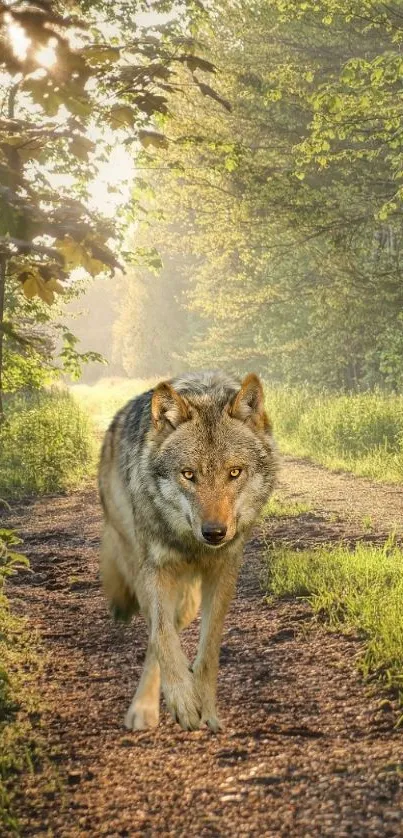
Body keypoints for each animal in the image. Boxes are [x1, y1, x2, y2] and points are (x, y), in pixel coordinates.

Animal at [99, 370, 280, 732]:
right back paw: (144, 708)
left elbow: (208, 650)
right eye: (188, 475)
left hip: (188, 602)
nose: (214, 533)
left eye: (234, 472)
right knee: (156, 631)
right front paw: (183, 698)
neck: (193, 545)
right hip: (140, 567)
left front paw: (205, 706)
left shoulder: (224, 572)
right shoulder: (154, 569)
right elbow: (163, 637)